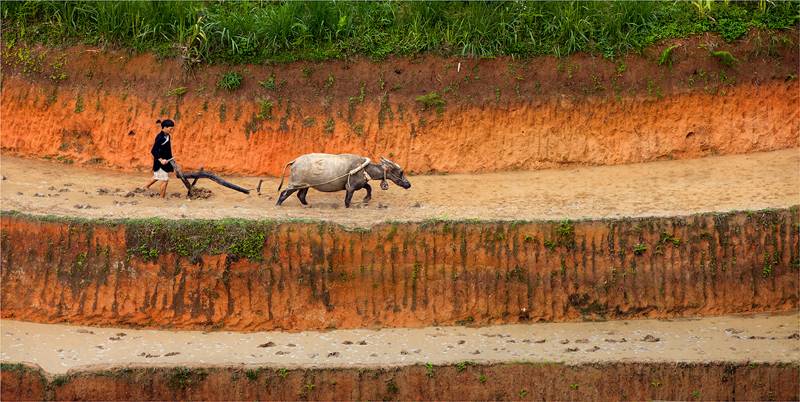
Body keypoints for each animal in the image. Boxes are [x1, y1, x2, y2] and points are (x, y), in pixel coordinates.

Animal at [276, 153, 412, 209]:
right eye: (401, 172)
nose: (408, 184)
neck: (364, 168)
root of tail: (294, 161)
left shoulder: (360, 184)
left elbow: (368, 187)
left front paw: (366, 199)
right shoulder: (350, 187)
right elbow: (348, 200)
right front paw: (349, 206)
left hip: (305, 185)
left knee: (301, 195)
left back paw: (307, 205)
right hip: (295, 184)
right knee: (283, 193)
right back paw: (278, 204)